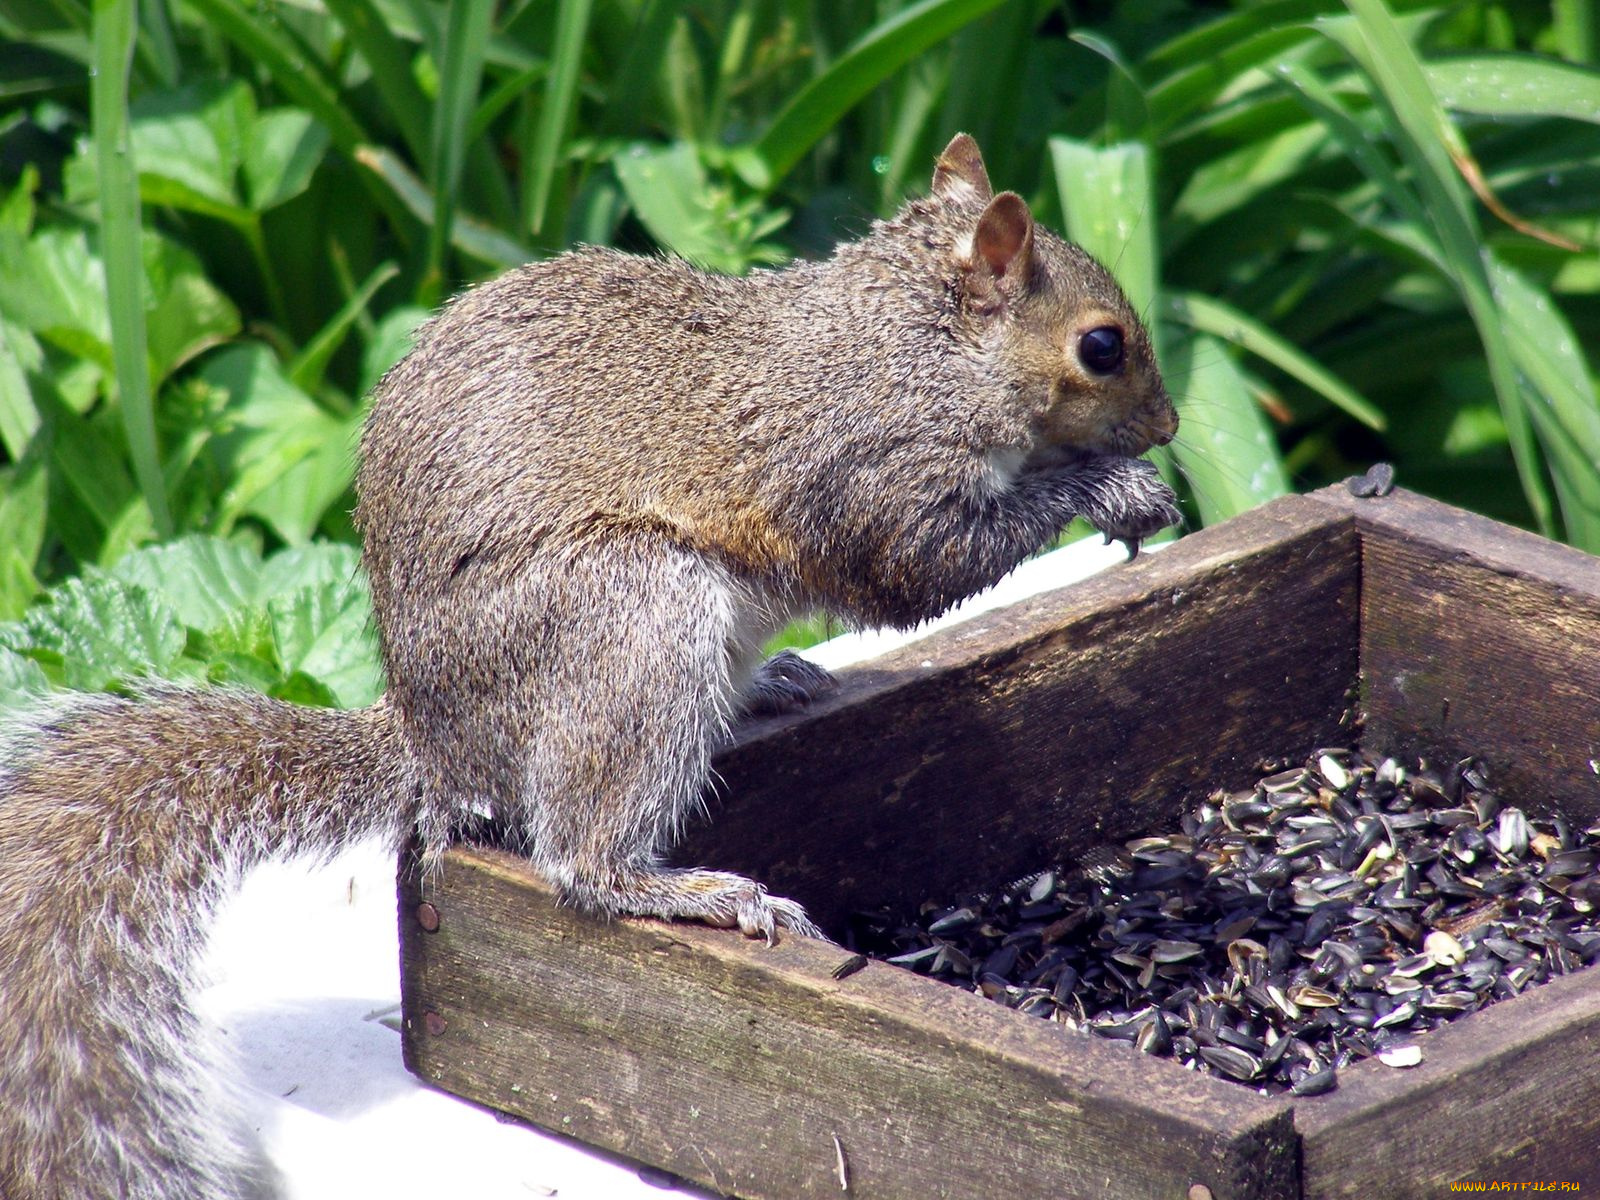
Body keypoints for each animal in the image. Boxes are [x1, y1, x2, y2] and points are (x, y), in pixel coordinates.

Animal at [0, 133, 1177, 1200]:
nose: (1169, 425)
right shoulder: (868, 473)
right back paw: (688, 891)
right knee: (580, 858)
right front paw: (1110, 490)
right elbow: (920, 567)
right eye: (1102, 346)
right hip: (630, 620)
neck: (910, 343)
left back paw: (772, 683)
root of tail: (432, 738)